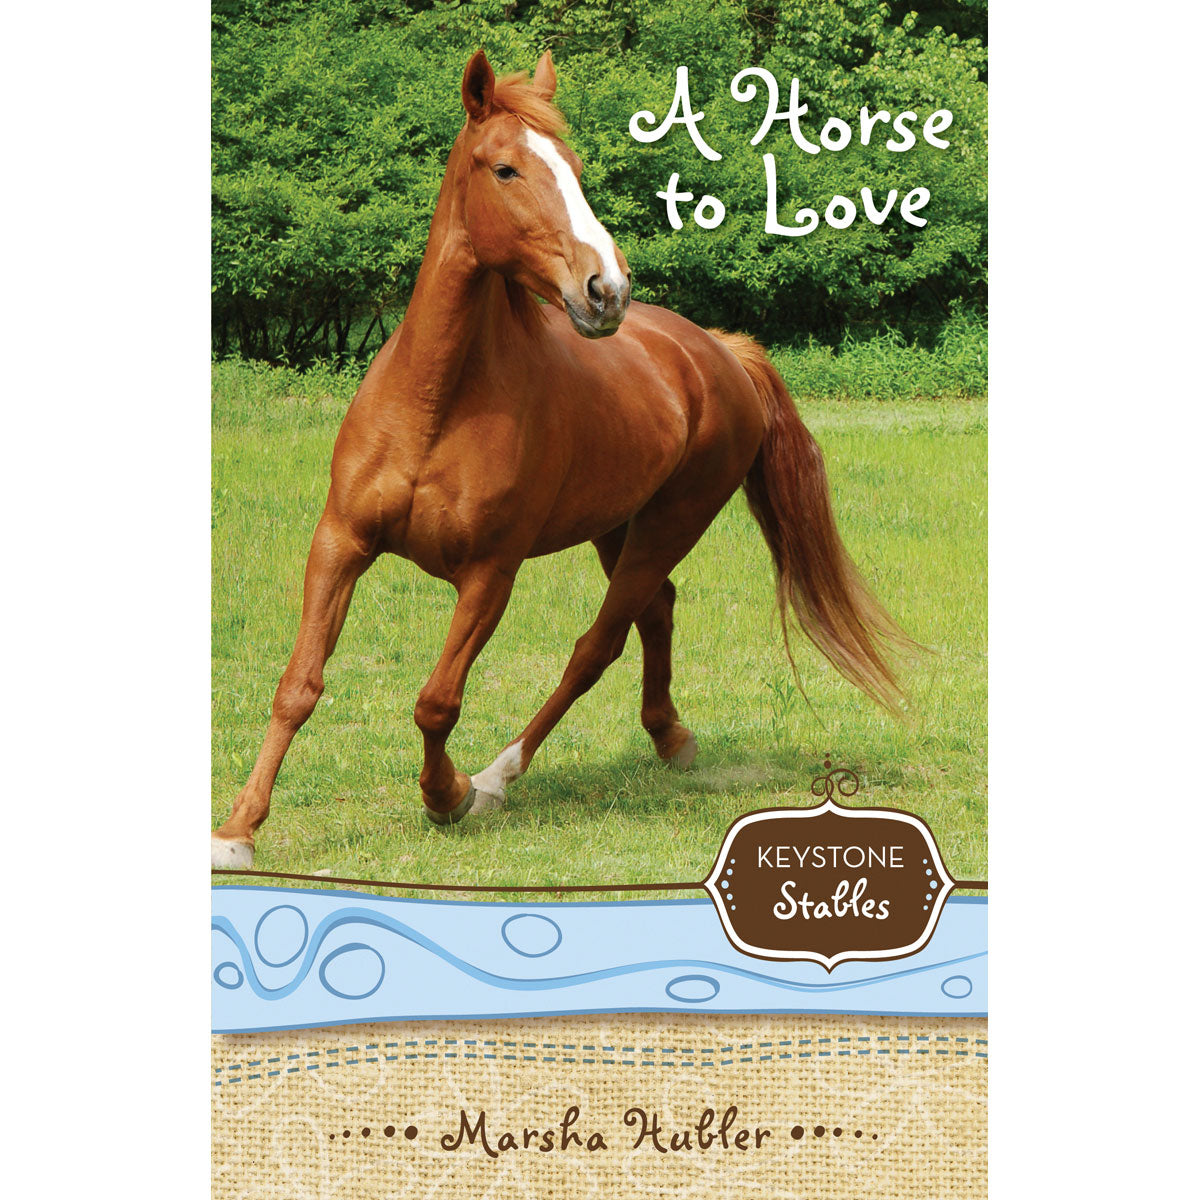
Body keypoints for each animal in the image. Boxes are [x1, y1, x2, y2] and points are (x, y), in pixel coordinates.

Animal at [211, 49, 911, 869]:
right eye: (505, 168)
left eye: (575, 169)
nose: (605, 290)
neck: (437, 404)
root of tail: (719, 352)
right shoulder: (340, 543)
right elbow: (299, 684)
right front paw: (237, 830)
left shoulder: (491, 575)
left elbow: (436, 700)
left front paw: (447, 796)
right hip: (619, 527)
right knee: (655, 611)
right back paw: (668, 737)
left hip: (671, 523)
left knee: (597, 646)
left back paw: (499, 776)